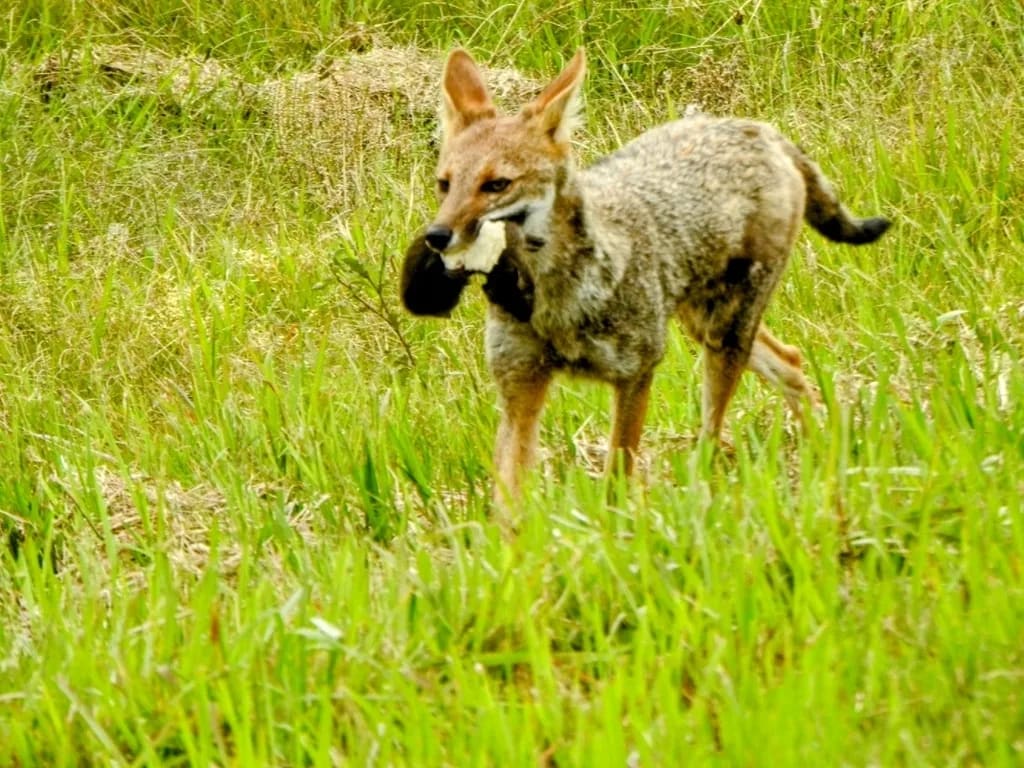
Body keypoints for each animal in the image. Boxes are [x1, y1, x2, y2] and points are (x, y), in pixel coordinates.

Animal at [402, 47, 890, 509]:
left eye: (496, 185)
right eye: (445, 184)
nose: (436, 236)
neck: (556, 305)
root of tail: (757, 129)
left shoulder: (637, 374)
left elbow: (617, 481)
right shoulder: (520, 390)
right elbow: (510, 503)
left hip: (722, 337)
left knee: (715, 430)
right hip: (705, 326)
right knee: (790, 360)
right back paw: (822, 452)